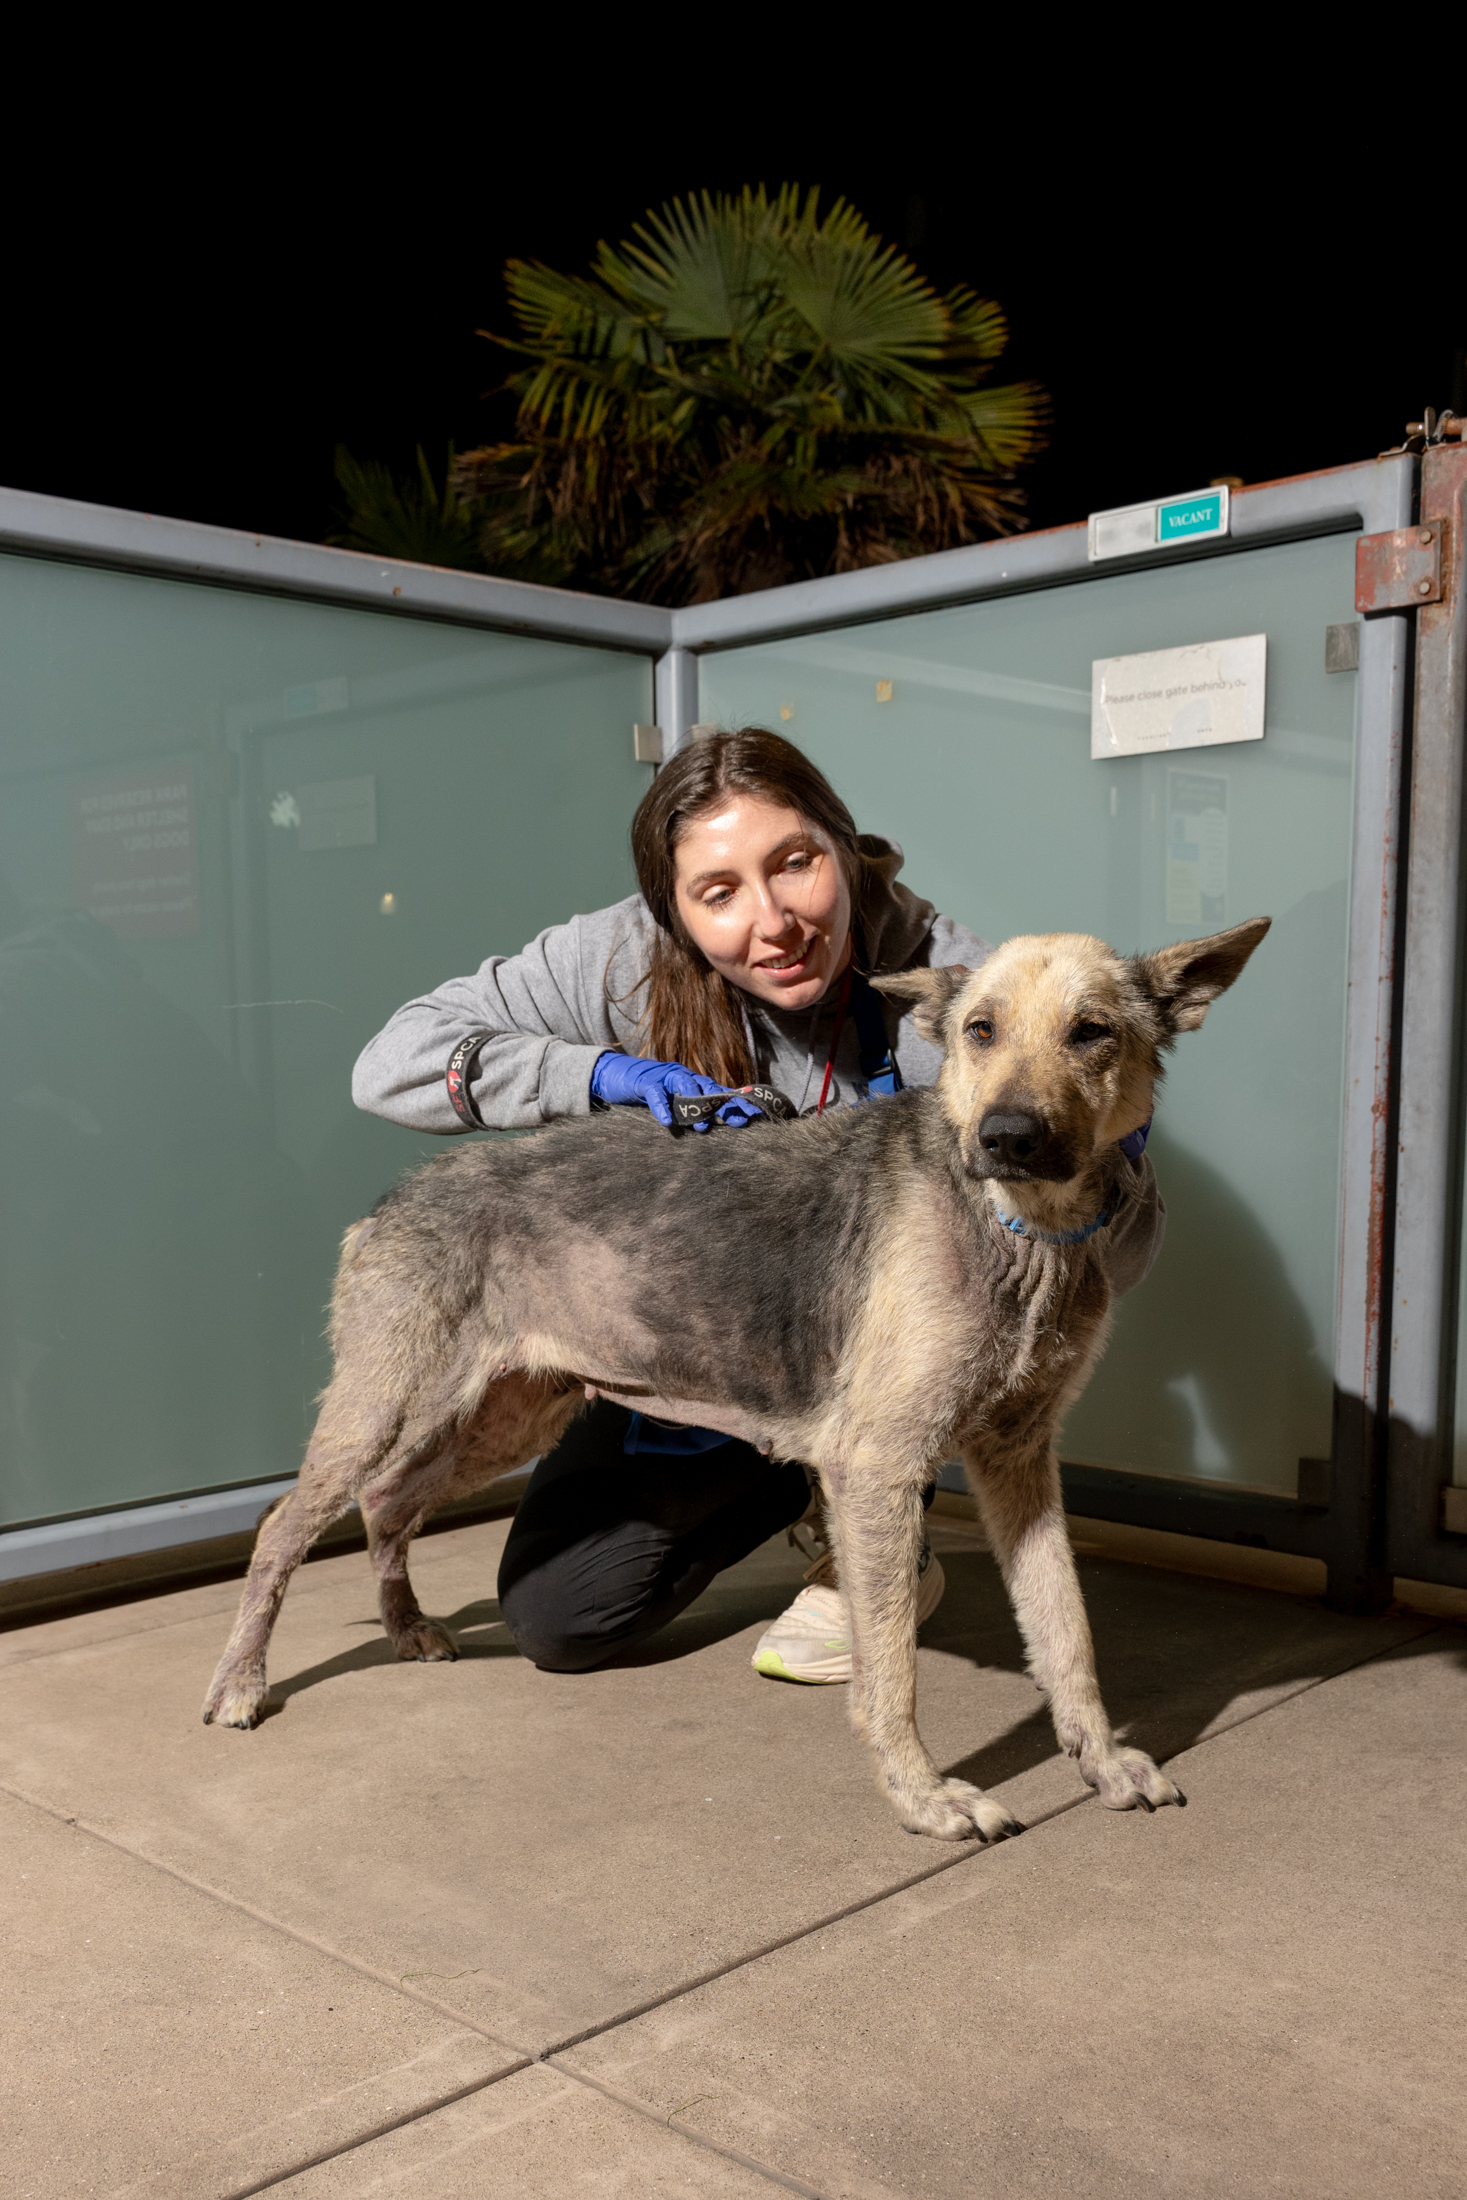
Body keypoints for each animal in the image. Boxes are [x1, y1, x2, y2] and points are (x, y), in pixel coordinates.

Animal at [206, 910, 1275, 1839]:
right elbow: (892, 1668)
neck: (1024, 1233)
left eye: (1092, 1033)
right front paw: (923, 1798)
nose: (1004, 1136)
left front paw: (1100, 1760)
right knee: (283, 1527)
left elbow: (1066, 1632)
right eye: (980, 1030)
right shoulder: (878, 1468)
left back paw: (407, 1627)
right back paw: (241, 1683)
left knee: (388, 1504)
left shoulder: (1019, 1461)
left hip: (501, 1415)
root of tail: (393, 1196)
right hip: (389, 1404)